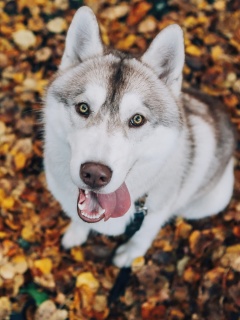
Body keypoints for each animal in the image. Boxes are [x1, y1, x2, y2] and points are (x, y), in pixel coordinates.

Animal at [43, 6, 234, 268]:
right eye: (83, 108)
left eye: (137, 119)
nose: (95, 174)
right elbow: (79, 219)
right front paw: (76, 233)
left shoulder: (154, 214)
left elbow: (142, 236)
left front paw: (130, 255)